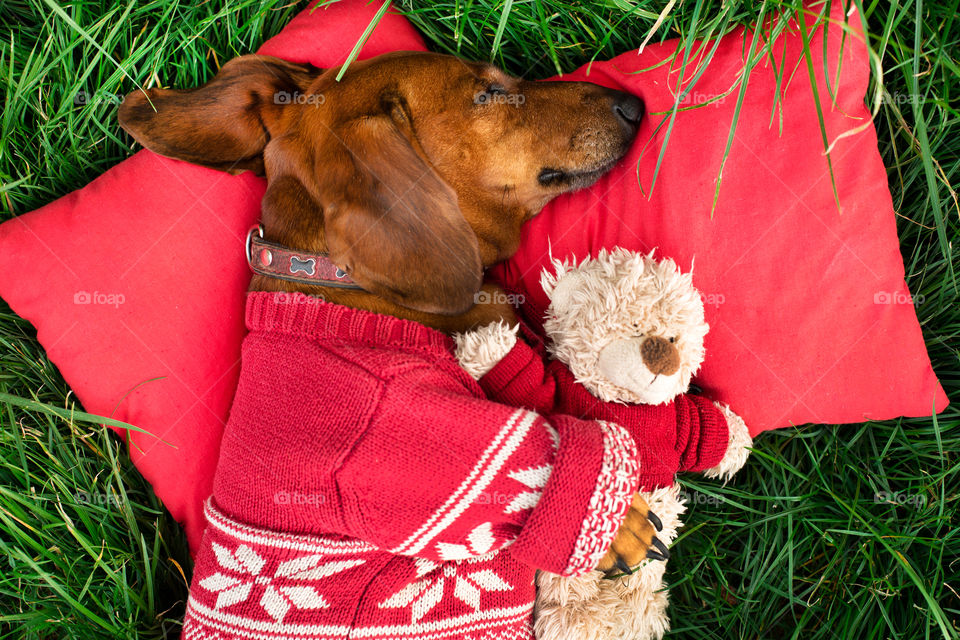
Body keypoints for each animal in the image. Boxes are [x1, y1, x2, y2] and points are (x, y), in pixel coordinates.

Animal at [118, 51, 660, 640]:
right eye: (488, 93)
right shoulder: (384, 436)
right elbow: (507, 449)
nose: (633, 104)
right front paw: (619, 524)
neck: (346, 287)